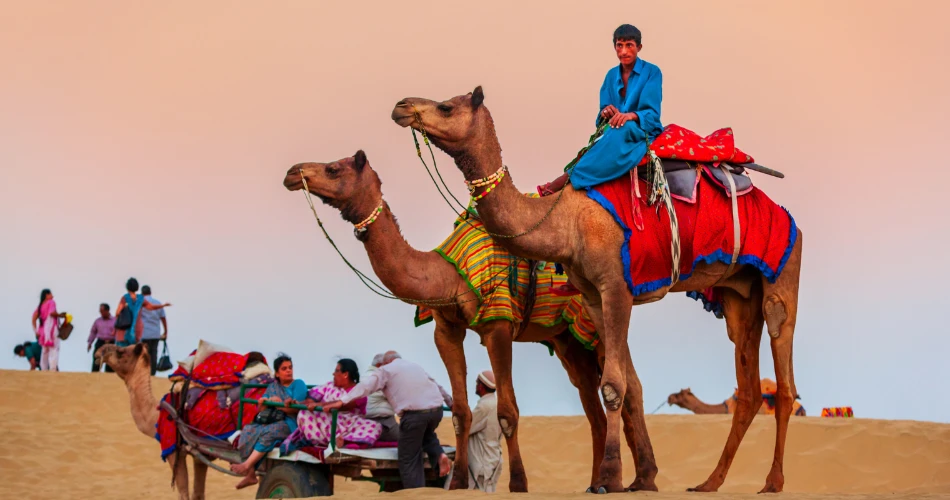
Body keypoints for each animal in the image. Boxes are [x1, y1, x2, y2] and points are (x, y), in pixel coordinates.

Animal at [96, 343, 206, 500]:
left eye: (121, 351)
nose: (99, 351)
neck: (157, 414)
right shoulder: (199, 456)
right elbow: (198, 493)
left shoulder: (174, 452)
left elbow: (184, 494)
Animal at [283, 151, 641, 492]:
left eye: (333, 168)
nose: (292, 172)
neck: (447, 275)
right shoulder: (446, 329)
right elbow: (459, 413)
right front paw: (456, 483)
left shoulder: (498, 325)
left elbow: (507, 411)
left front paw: (518, 484)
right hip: (568, 340)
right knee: (594, 409)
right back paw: (600, 483)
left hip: (595, 323)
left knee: (623, 388)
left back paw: (624, 482)